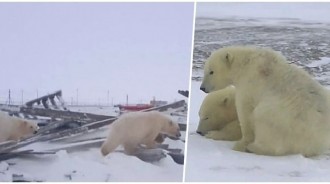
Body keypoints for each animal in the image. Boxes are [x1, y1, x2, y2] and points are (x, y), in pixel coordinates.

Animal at [199, 45, 330, 156]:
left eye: (211, 71)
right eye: (205, 71)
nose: (202, 88)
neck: (245, 63)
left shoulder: (249, 83)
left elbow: (245, 112)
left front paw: (238, 143)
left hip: (285, 118)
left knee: (264, 121)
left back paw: (252, 147)